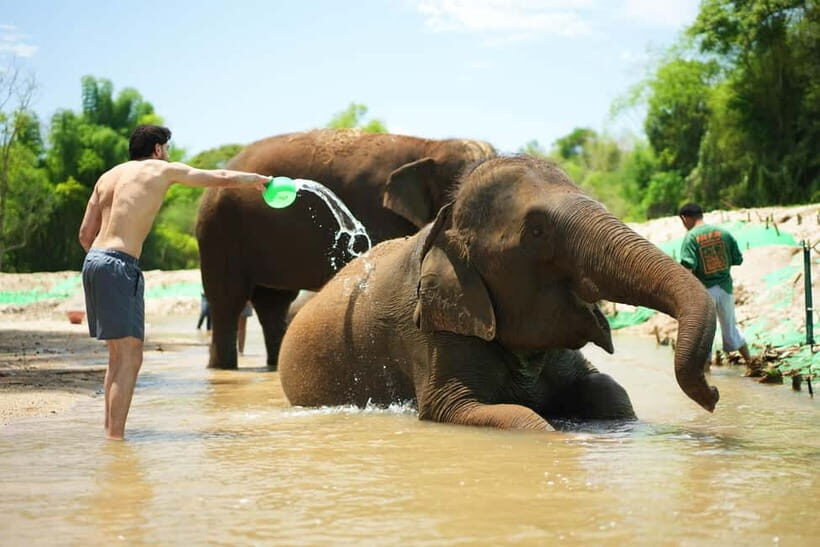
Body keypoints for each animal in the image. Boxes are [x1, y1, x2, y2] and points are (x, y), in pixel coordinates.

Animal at [196, 129, 496, 369]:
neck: (429, 146)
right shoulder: (379, 213)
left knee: (273, 303)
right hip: (220, 234)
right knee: (228, 300)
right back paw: (223, 368)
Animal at [278, 155, 719, 430]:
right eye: (537, 232)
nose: (713, 394)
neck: (447, 222)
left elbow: (608, 390)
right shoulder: (428, 331)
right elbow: (462, 408)